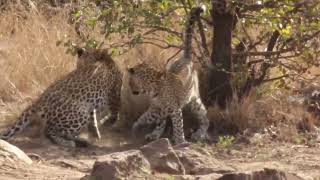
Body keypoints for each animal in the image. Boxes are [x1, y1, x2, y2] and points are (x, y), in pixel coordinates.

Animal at [127, 7, 210, 145]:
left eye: (130, 82)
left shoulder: (174, 108)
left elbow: (178, 126)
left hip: (194, 100)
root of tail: (186, 58)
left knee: (205, 117)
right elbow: (147, 117)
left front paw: (181, 141)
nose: (131, 91)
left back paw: (200, 134)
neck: (151, 88)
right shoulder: (156, 108)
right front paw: (139, 127)